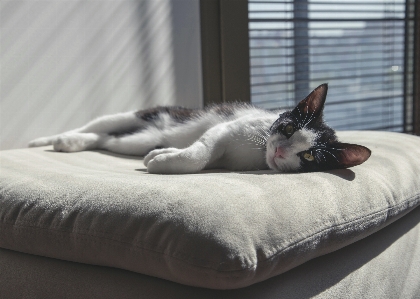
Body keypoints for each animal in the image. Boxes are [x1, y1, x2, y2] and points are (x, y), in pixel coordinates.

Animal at [29, 83, 370, 175]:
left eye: (309, 156)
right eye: (286, 128)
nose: (280, 150)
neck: (258, 153)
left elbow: (198, 154)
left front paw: (162, 155)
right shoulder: (226, 127)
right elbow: (201, 151)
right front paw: (165, 161)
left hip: (138, 139)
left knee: (109, 138)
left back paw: (71, 142)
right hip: (147, 113)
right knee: (101, 124)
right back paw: (49, 139)